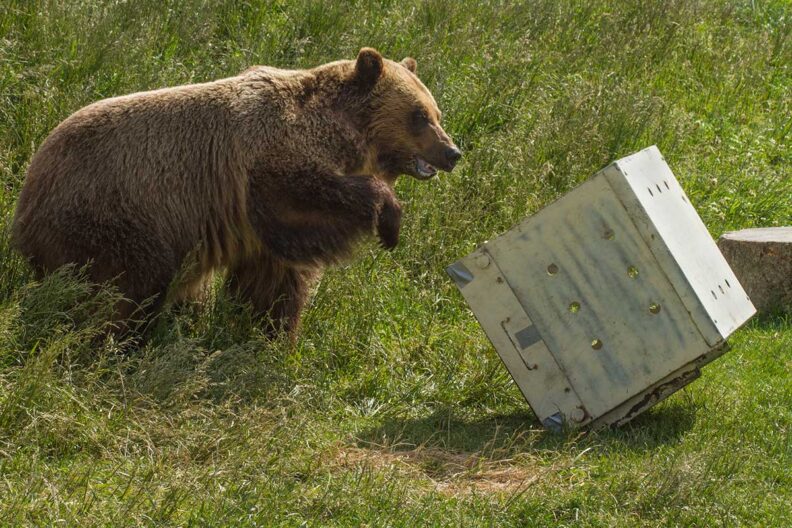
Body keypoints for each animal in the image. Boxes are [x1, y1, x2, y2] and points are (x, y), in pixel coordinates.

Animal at [11, 48, 460, 335]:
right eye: (419, 115)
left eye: (437, 113)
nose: (452, 152)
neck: (340, 135)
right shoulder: (262, 167)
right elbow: (303, 201)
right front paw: (389, 220)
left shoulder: (260, 234)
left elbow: (274, 281)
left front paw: (264, 331)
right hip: (114, 214)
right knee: (124, 286)